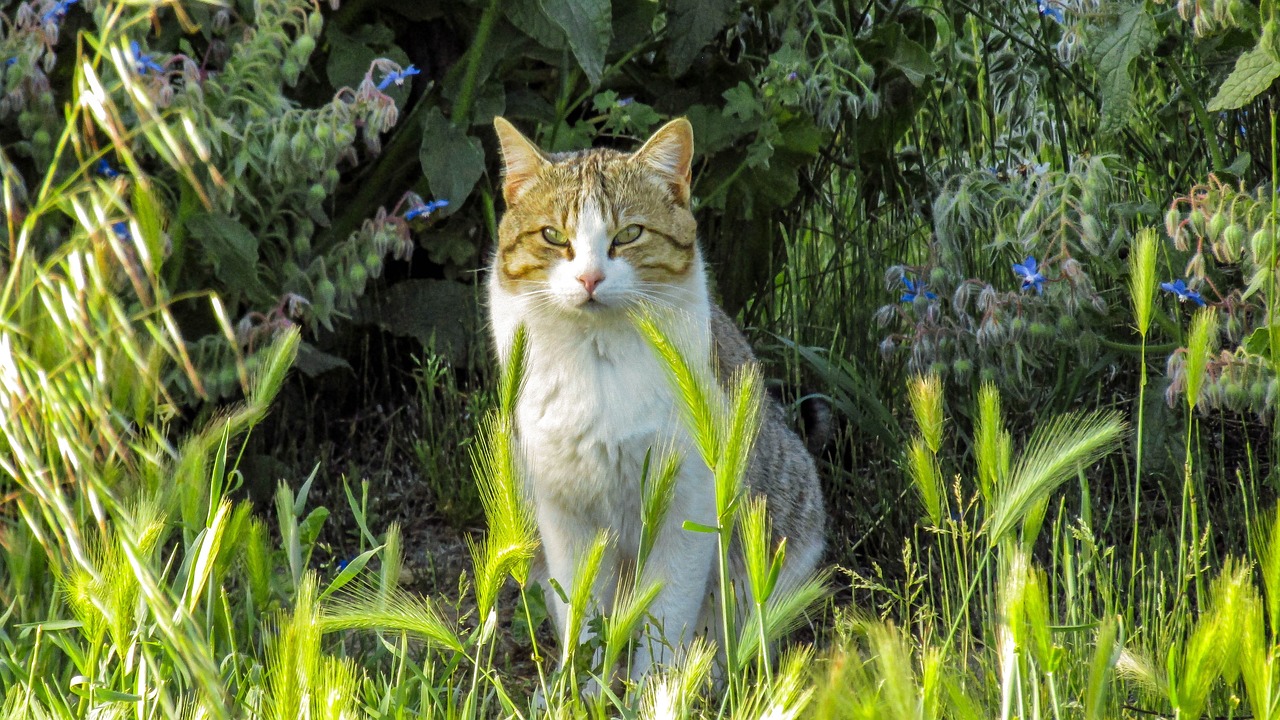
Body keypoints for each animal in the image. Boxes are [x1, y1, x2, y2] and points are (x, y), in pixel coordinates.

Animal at [483, 114, 824, 676]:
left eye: (630, 234)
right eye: (553, 236)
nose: (589, 277)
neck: (597, 362)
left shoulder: (689, 505)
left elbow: (666, 618)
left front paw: (657, 688)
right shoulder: (564, 512)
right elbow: (584, 616)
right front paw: (581, 686)